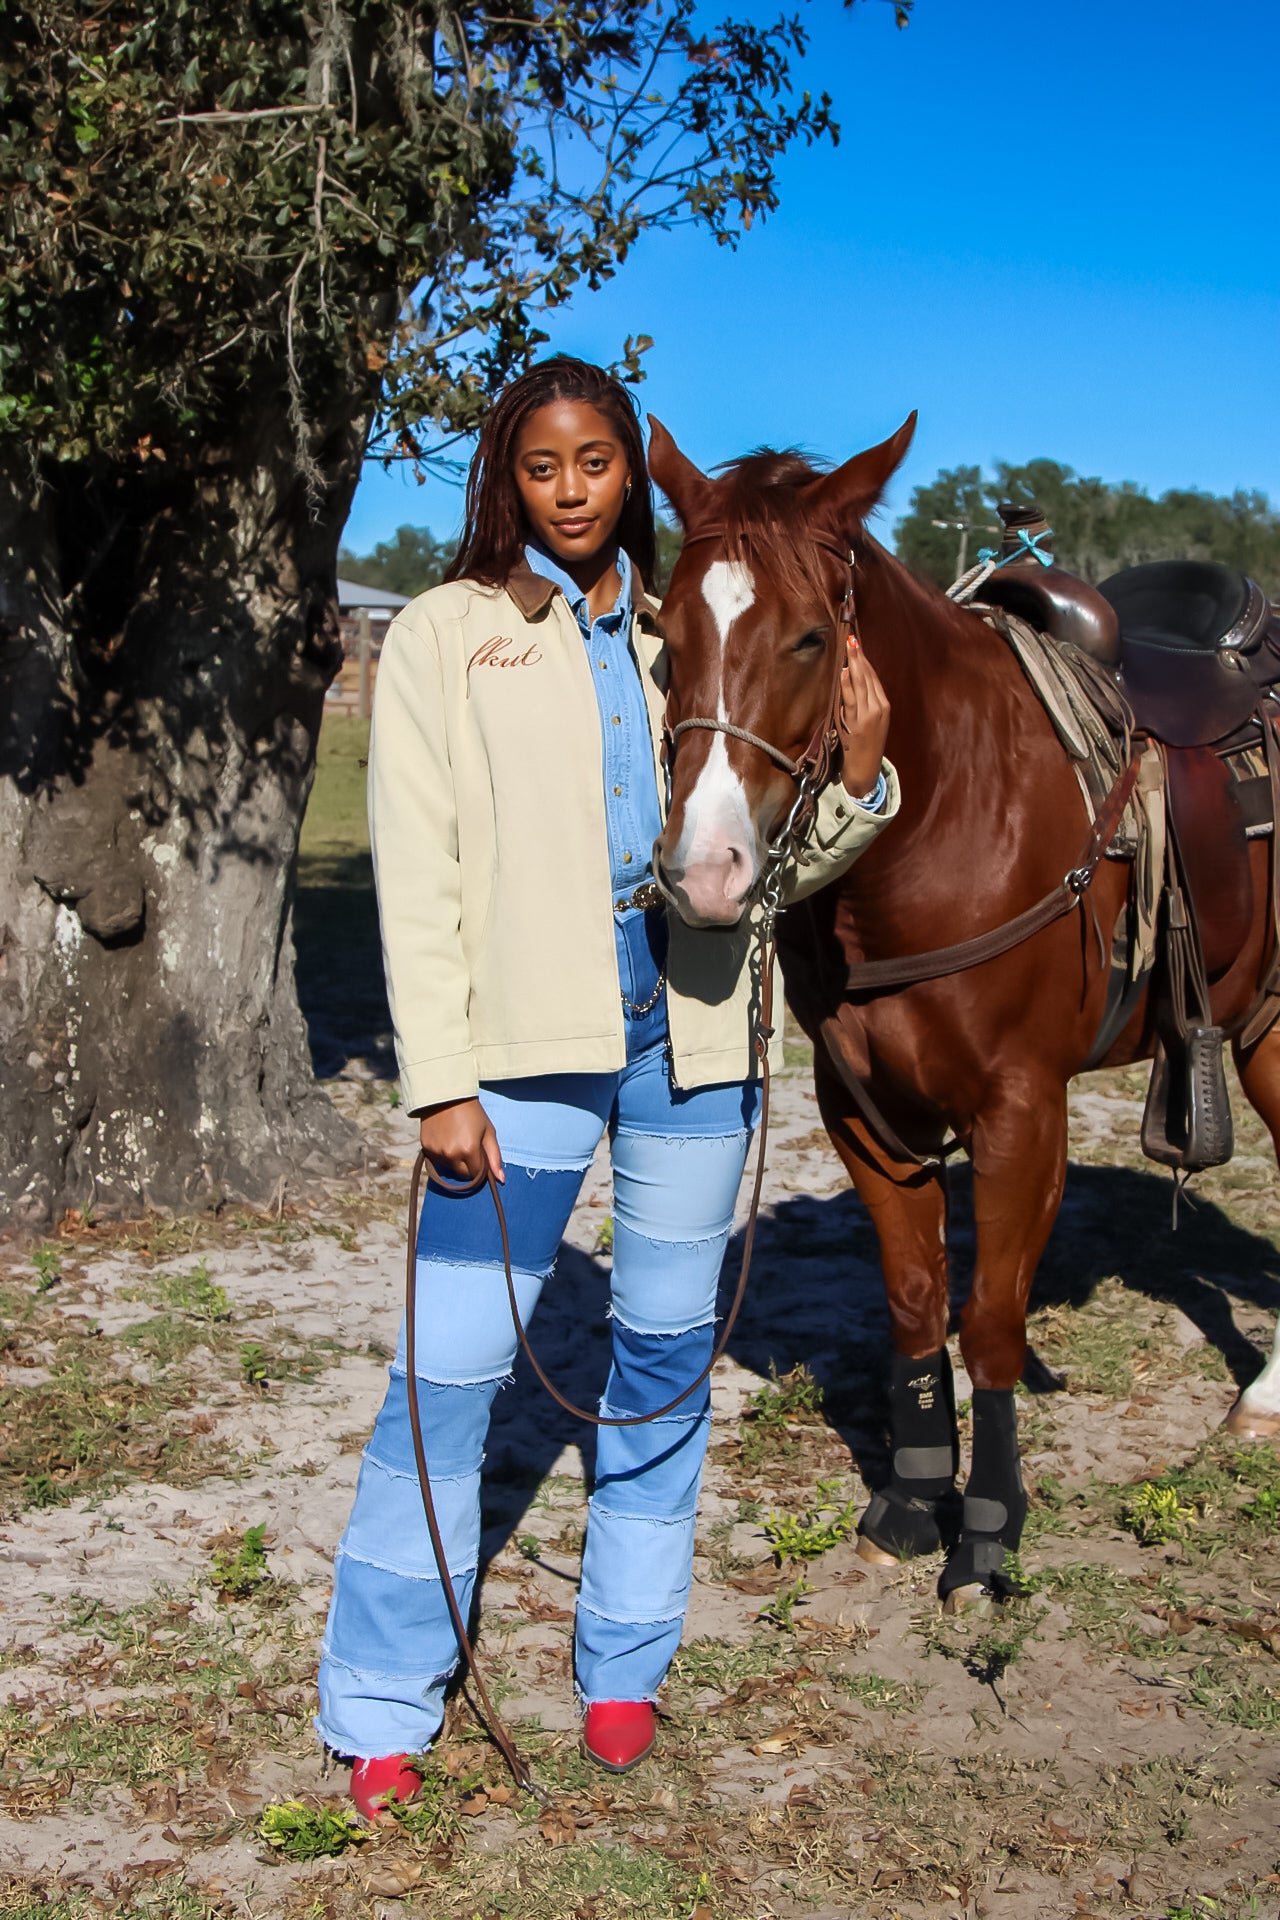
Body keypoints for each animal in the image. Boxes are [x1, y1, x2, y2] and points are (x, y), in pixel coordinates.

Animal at [644, 416, 1280, 1605]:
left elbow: (987, 1320)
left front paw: (986, 1525)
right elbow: (911, 1299)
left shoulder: (1022, 1114)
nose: (703, 873)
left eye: (811, 639)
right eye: (663, 634)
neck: (946, 818)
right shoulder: (862, 1113)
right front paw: (909, 1494)